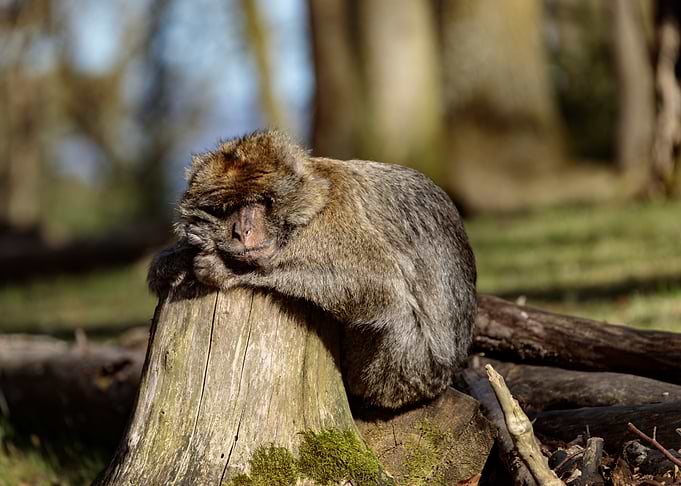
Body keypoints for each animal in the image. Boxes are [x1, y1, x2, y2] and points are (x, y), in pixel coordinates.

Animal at [148, 130, 477, 409]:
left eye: (261, 202)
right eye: (227, 208)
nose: (243, 231)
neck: (314, 199)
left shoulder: (335, 215)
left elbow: (379, 281)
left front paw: (228, 268)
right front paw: (177, 256)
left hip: (406, 371)